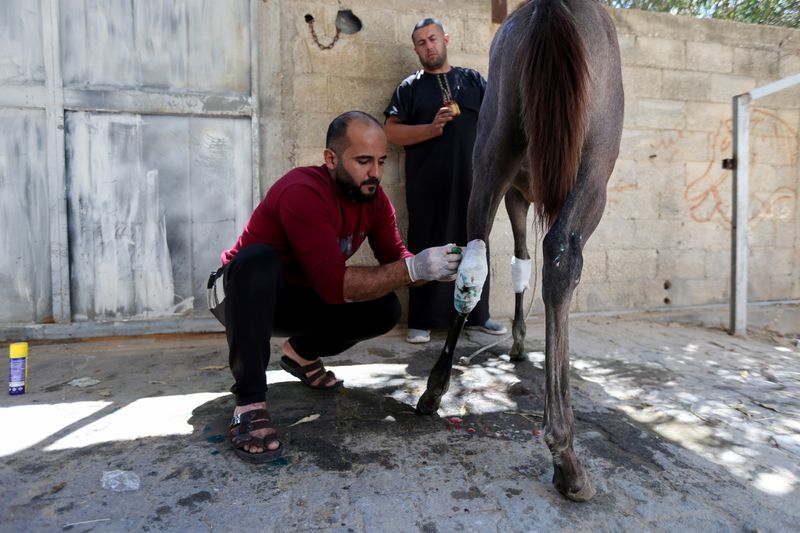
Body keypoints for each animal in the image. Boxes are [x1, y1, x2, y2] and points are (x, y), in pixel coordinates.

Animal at [418, 0, 624, 500]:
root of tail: (550, 9)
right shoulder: (527, 194)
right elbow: (531, 264)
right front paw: (520, 343)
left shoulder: (515, 194)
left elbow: (516, 261)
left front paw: (515, 342)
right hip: (594, 168)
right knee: (562, 257)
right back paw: (566, 457)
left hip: (491, 151)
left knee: (472, 257)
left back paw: (433, 391)